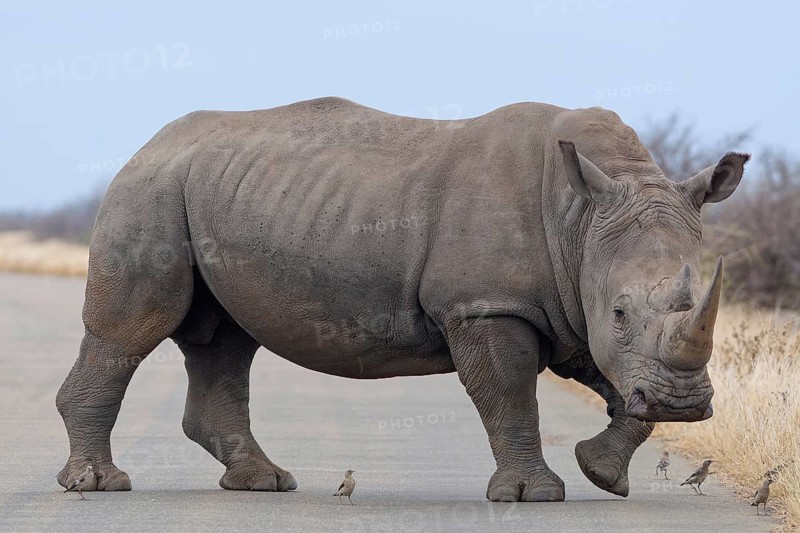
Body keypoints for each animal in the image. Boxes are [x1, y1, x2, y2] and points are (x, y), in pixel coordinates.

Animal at [56, 97, 748, 501]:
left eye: (696, 297)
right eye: (621, 312)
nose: (687, 404)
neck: (583, 218)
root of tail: (148, 144)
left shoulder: (571, 303)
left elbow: (620, 386)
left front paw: (601, 473)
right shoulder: (488, 302)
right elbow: (511, 392)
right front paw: (533, 495)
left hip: (212, 191)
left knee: (224, 339)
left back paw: (264, 484)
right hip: (148, 190)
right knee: (133, 332)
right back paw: (100, 485)